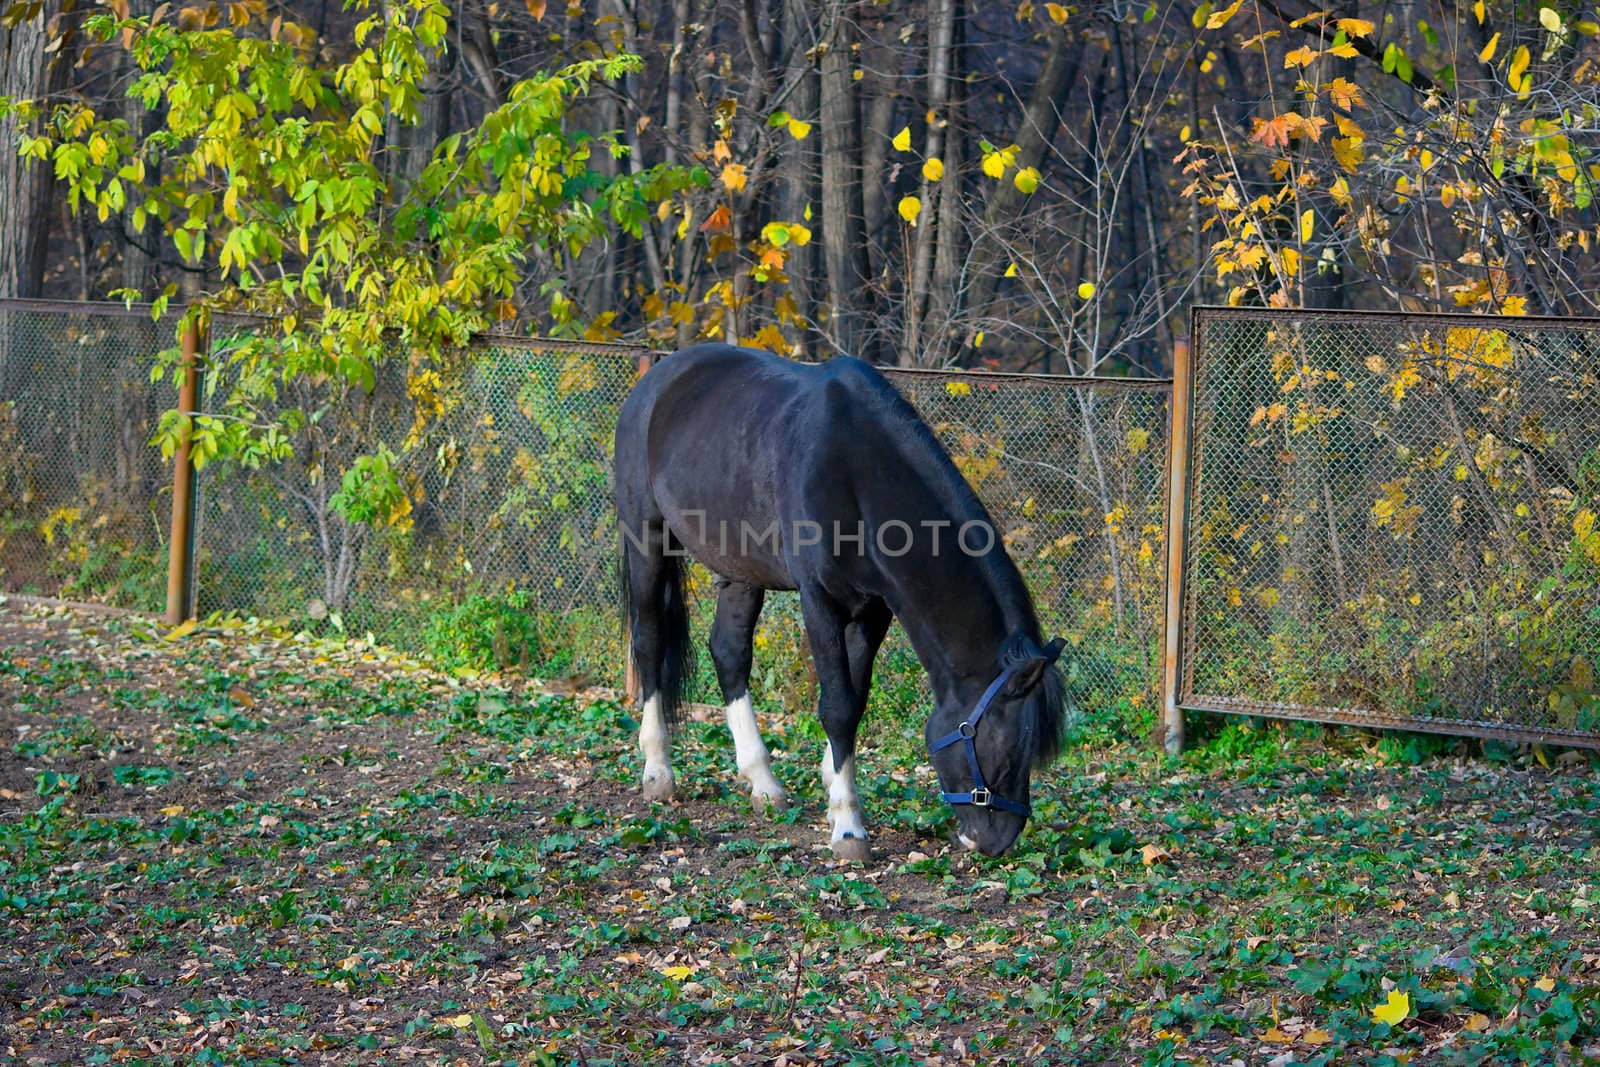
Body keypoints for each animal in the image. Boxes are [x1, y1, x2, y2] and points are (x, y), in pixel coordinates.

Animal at [611, 347, 1062, 863]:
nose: (996, 841)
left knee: (728, 654)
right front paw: (848, 827)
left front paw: (831, 786)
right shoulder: (820, 600)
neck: (860, 476)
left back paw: (762, 781)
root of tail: (658, 379)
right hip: (646, 539)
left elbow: (856, 699)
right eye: (1004, 745)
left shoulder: (874, 609)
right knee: (650, 643)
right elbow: (838, 705)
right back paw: (658, 771)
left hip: (742, 570)